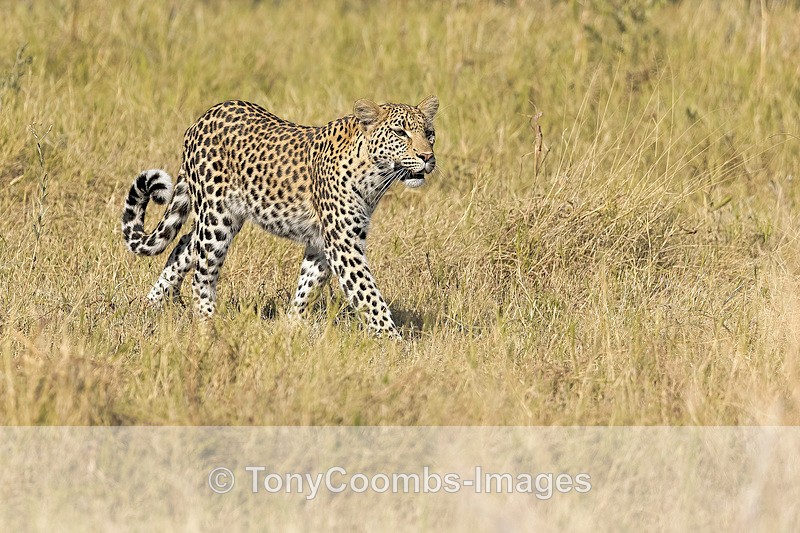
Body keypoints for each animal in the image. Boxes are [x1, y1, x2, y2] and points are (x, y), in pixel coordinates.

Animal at [121, 96, 438, 339]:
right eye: (400, 133)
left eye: (429, 133)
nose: (427, 157)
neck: (375, 175)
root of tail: (201, 119)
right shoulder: (343, 244)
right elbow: (369, 294)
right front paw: (395, 344)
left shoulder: (322, 243)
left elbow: (308, 286)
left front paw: (291, 327)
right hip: (216, 218)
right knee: (202, 274)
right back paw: (208, 326)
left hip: (221, 219)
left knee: (185, 244)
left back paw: (151, 304)